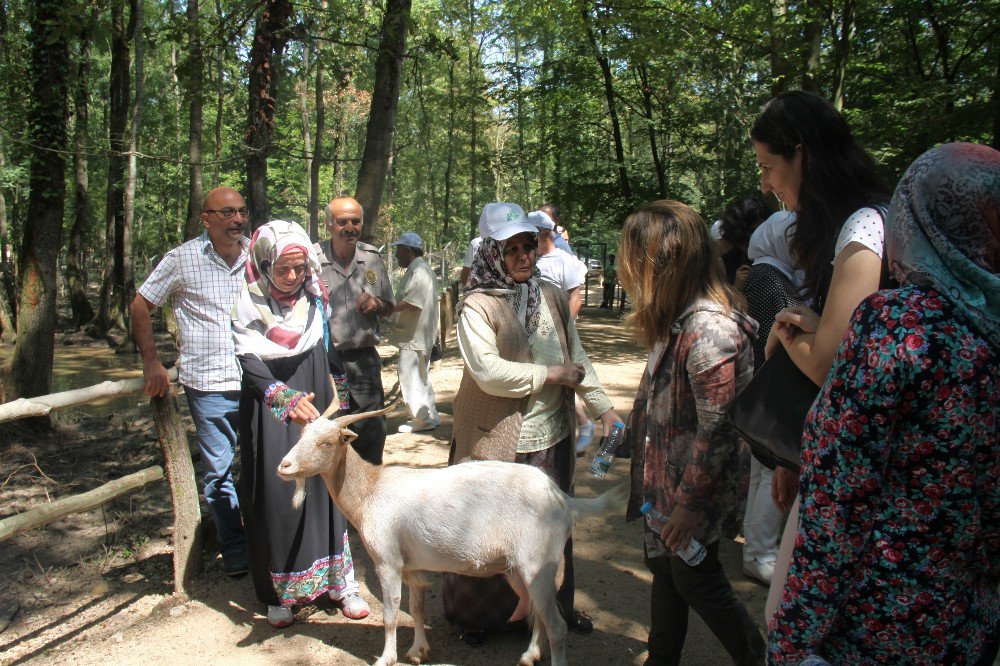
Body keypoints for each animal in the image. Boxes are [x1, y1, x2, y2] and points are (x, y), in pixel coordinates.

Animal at [280, 402, 624, 664]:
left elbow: (391, 614)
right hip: (518, 569)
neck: (371, 491)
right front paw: (418, 651)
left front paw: (386, 658)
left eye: (327, 442)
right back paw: (529, 655)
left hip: (537, 562)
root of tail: (562, 498)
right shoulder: (412, 566)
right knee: (537, 612)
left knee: (557, 625)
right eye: (301, 434)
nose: (284, 466)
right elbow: (415, 608)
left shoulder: (388, 561)